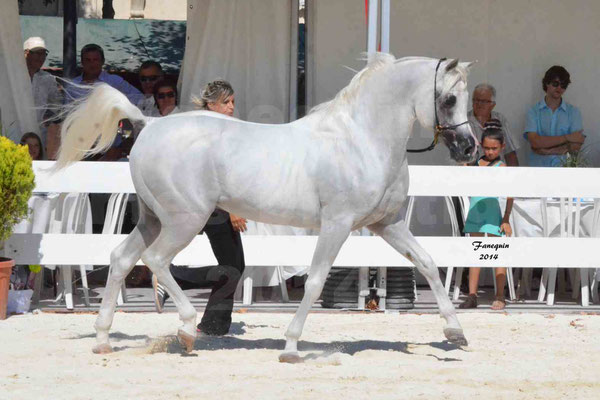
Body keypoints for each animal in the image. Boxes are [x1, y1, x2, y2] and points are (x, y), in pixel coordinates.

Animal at [56, 54, 478, 362]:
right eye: (449, 99)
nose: (469, 149)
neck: (361, 140)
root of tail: (149, 124)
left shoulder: (387, 224)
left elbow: (428, 263)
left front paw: (455, 333)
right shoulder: (337, 224)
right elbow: (315, 280)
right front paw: (291, 347)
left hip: (152, 219)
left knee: (121, 259)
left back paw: (102, 339)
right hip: (183, 220)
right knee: (157, 261)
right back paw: (187, 330)